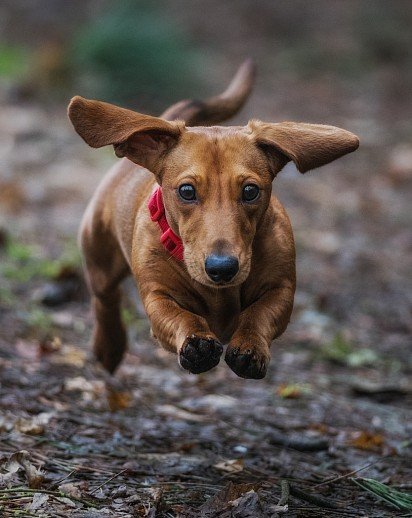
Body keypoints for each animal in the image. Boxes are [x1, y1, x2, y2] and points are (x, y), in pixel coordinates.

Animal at [67, 62, 358, 382]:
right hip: (99, 260)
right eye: (186, 191)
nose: (222, 268)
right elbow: (180, 316)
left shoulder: (281, 289)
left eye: (250, 191)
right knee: (105, 300)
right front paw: (196, 342)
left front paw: (250, 346)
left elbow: (259, 314)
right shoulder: (157, 296)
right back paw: (109, 345)